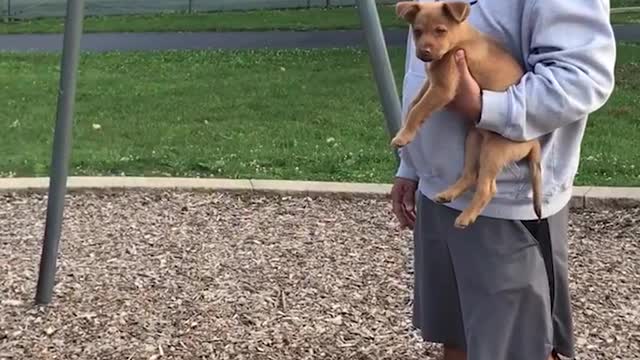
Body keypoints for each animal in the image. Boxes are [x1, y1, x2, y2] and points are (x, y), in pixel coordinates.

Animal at [392, 0, 544, 228]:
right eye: (417, 31)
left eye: (440, 31)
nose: (424, 53)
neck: (458, 40)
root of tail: (533, 142)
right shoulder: (432, 81)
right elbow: (414, 104)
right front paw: (406, 130)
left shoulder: (443, 88)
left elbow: (418, 109)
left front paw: (403, 136)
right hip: (473, 139)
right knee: (471, 175)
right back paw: (448, 193)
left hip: (494, 150)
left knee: (488, 187)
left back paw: (466, 217)